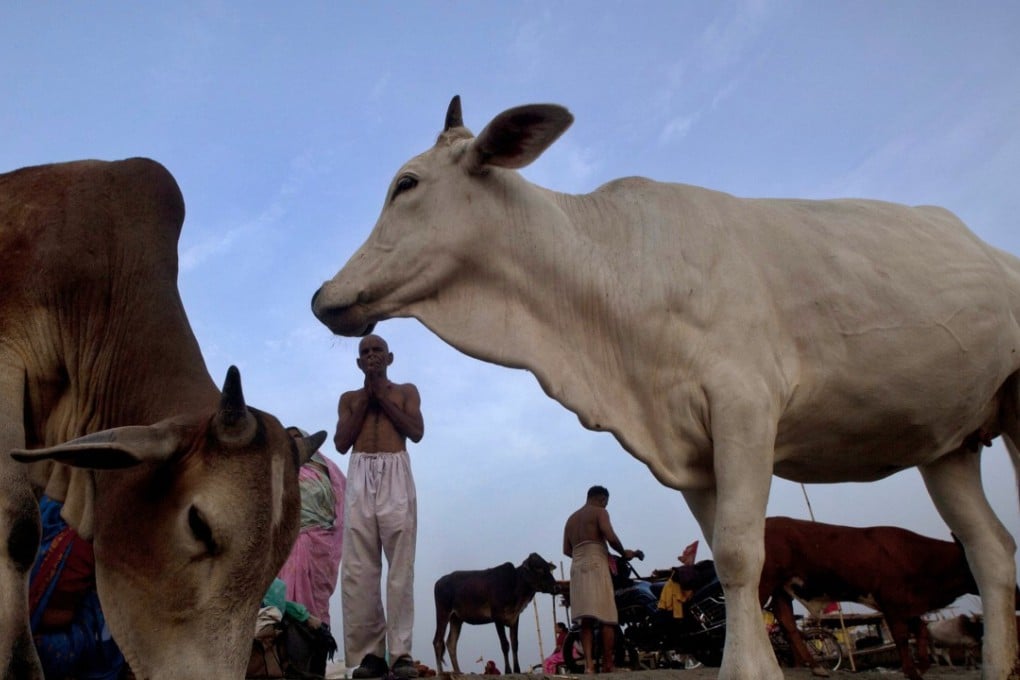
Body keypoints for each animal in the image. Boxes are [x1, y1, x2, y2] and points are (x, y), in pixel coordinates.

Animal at [760, 516, 982, 680]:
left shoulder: (907, 605)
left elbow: (920, 629)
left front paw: (922, 666)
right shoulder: (892, 602)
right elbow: (901, 636)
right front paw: (911, 671)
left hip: (781, 588)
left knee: (787, 623)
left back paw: (816, 667)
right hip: (765, 582)